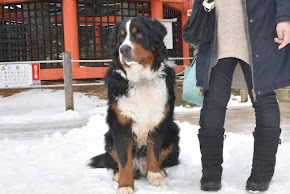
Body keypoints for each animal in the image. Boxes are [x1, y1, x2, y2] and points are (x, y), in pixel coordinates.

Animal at [88, 16, 179, 194]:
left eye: (139, 35)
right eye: (121, 37)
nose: (123, 49)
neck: (140, 79)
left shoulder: (158, 122)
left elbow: (154, 153)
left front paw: (155, 177)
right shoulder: (121, 125)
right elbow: (124, 161)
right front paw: (125, 185)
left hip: (173, 132)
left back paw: (161, 171)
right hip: (109, 138)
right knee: (115, 162)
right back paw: (117, 175)